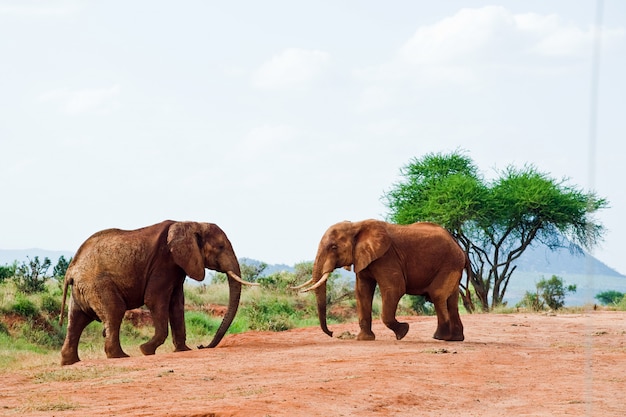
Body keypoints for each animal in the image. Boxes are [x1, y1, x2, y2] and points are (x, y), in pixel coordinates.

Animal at [56, 219, 256, 366]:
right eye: (221, 247)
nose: (201, 346)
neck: (191, 223)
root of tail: (71, 270)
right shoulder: (164, 262)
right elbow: (155, 300)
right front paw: (146, 350)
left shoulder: (177, 266)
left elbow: (177, 304)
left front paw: (184, 350)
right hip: (97, 284)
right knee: (114, 311)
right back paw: (121, 356)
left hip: (83, 289)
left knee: (76, 320)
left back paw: (70, 362)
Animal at [298, 219, 468, 340]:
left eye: (333, 247)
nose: (332, 333)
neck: (356, 226)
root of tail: (458, 245)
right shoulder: (364, 259)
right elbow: (362, 291)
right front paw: (364, 339)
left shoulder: (386, 257)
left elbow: (394, 288)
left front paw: (403, 332)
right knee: (451, 300)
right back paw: (455, 339)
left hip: (449, 263)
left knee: (437, 295)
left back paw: (440, 338)